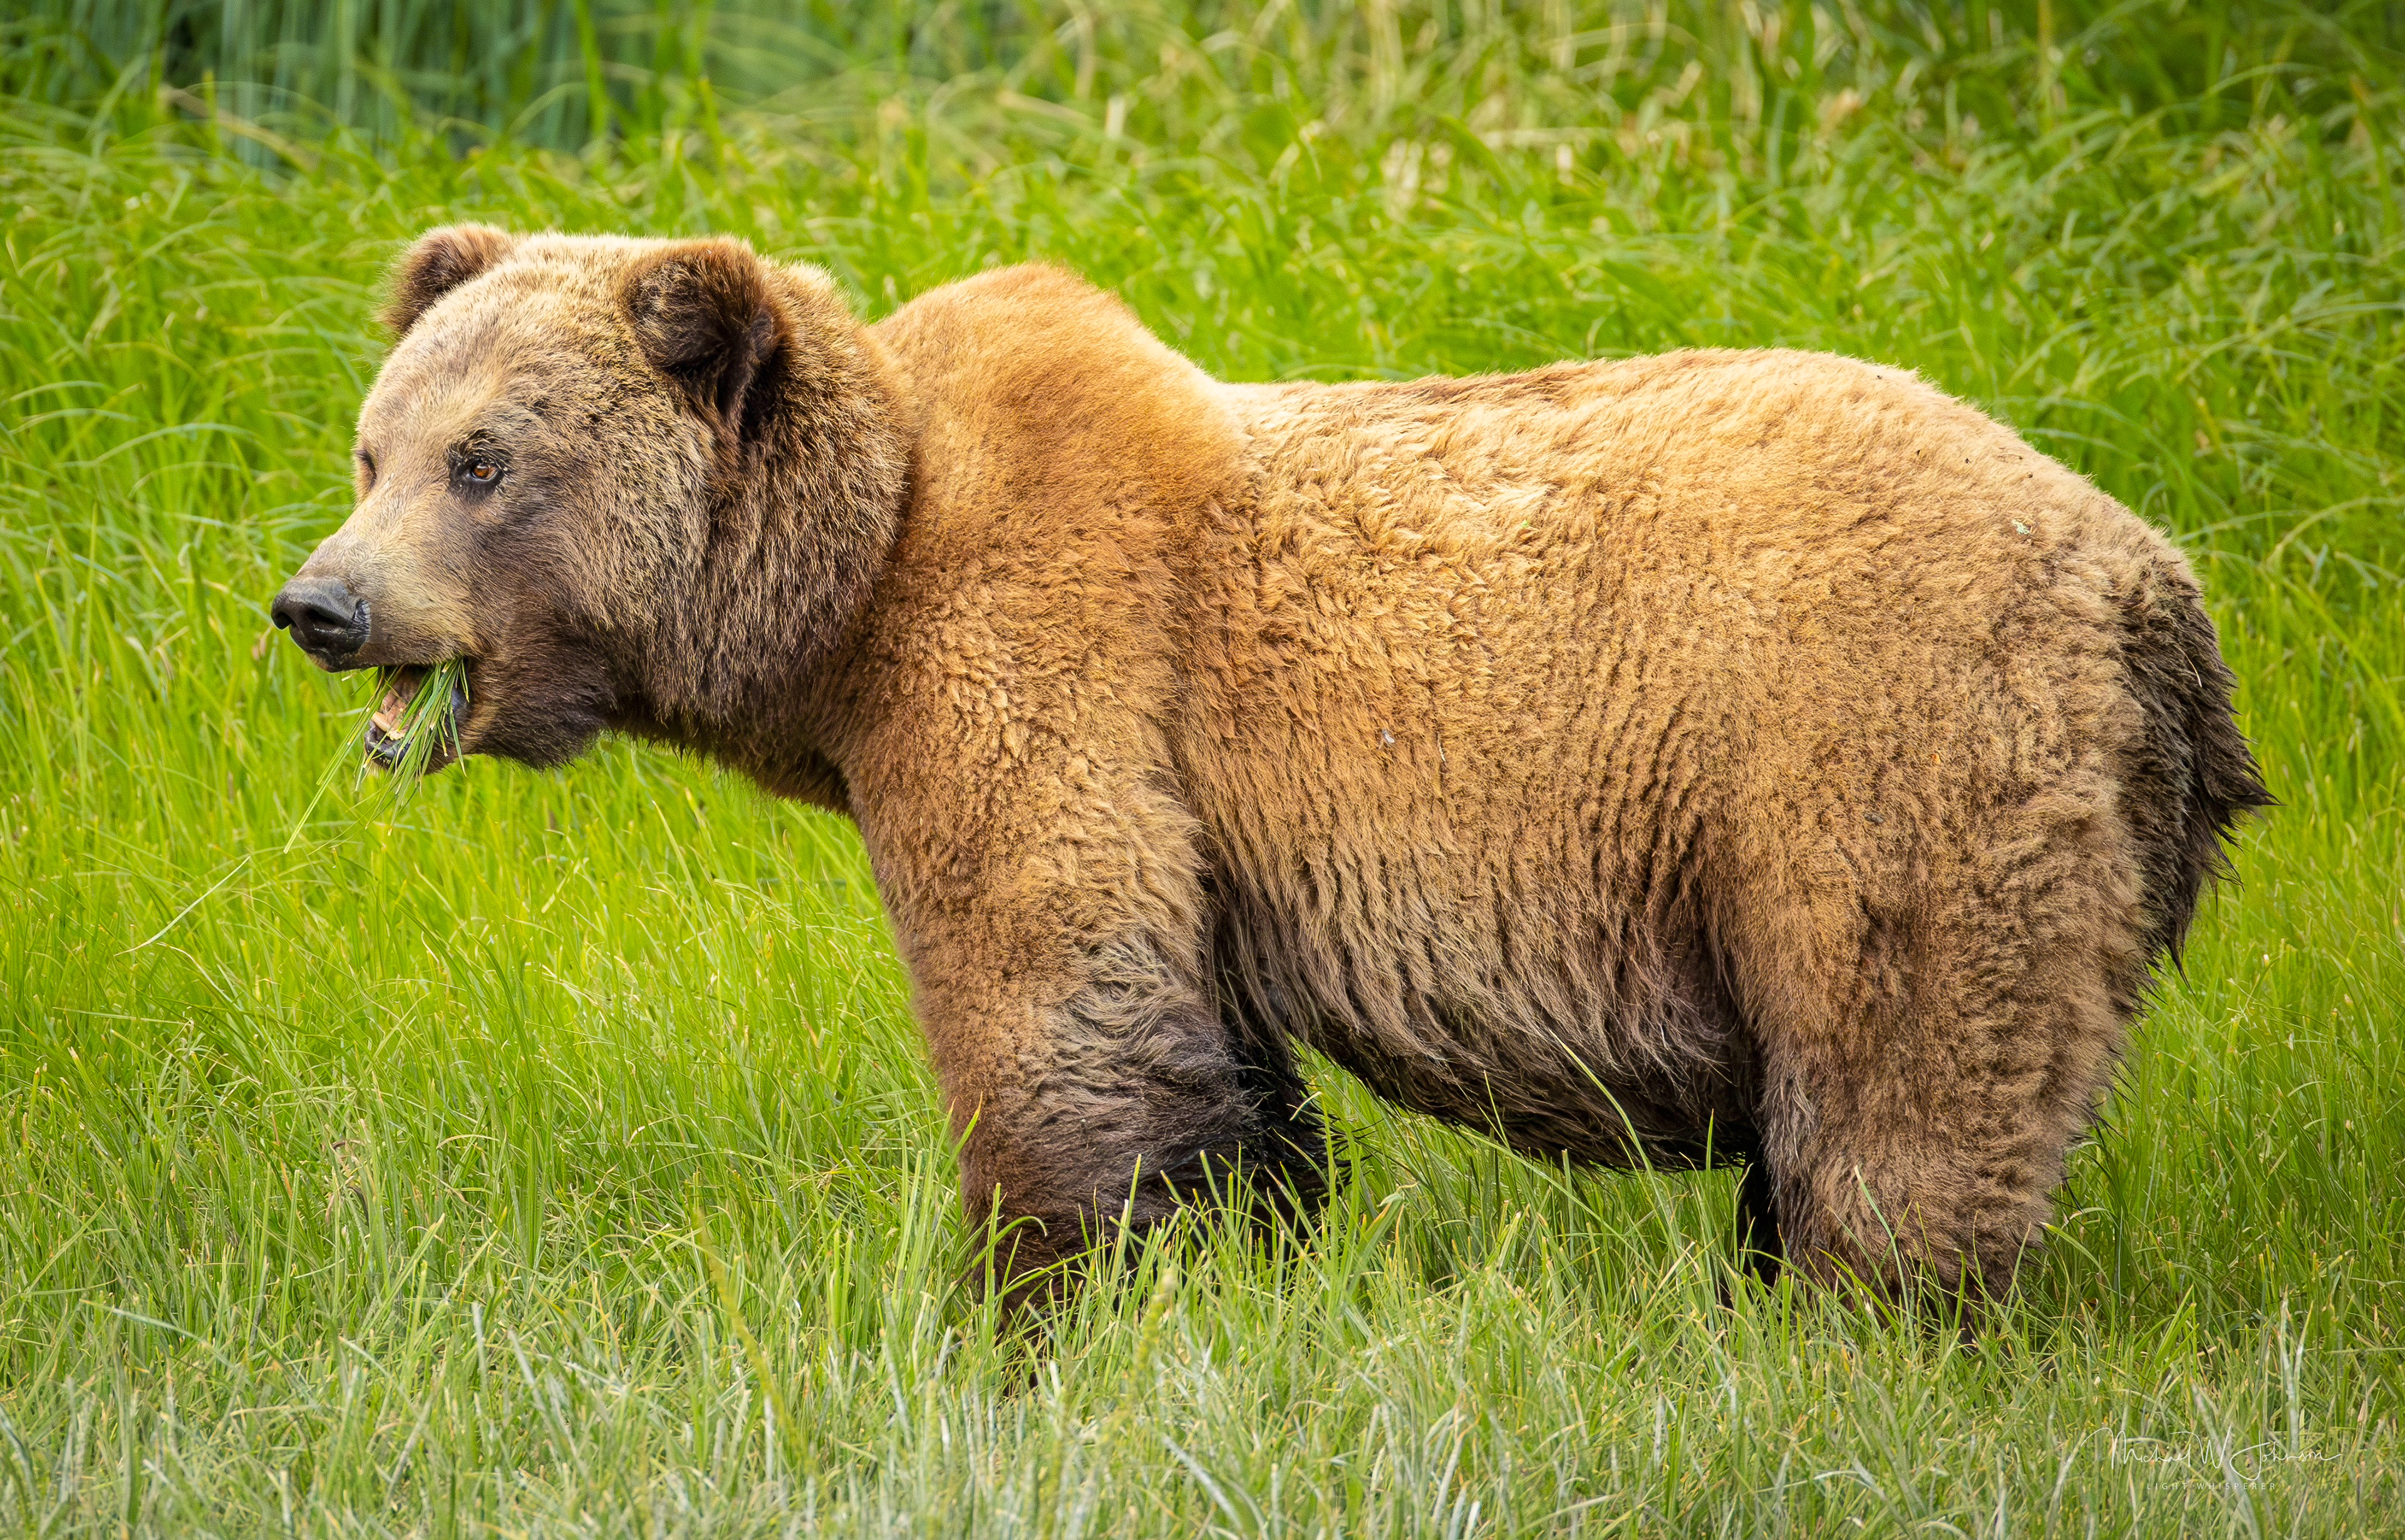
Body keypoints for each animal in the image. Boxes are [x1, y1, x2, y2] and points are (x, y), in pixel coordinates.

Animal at [272, 227, 2268, 1309]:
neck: (854, 599)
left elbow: (1063, 1017)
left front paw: (1046, 1298)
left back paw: (1849, 1314)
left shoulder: (1049, 669)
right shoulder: (1184, 828)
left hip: (1873, 755)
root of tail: (2152, 589)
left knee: (1896, 1090)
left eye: (484, 460)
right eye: (374, 443)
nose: (319, 601)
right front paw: (1231, 1265)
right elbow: (1208, 1061)